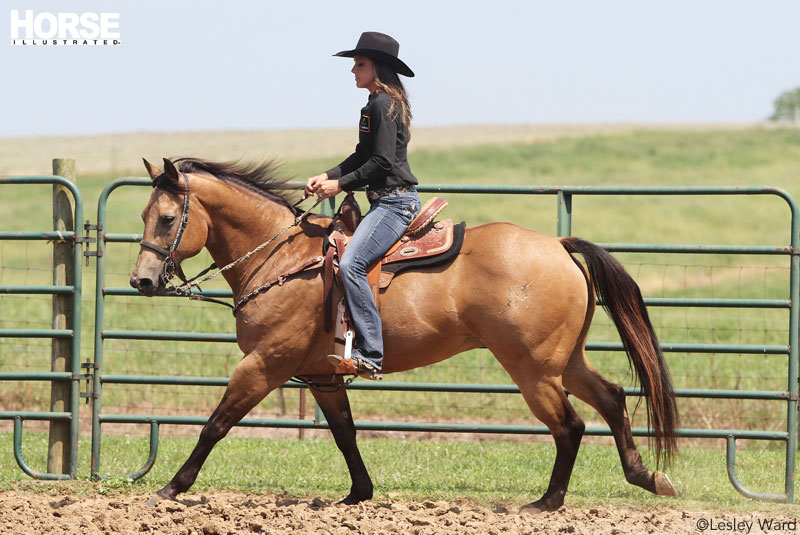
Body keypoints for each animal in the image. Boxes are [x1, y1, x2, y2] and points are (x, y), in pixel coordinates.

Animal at [130, 157, 676, 512]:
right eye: (143, 215)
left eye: (168, 217)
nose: (142, 281)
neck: (281, 259)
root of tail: (559, 245)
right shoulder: (323, 375)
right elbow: (345, 433)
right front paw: (359, 494)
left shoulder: (265, 364)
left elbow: (216, 424)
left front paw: (171, 489)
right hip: (567, 360)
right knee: (611, 397)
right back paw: (646, 476)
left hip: (533, 370)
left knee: (570, 425)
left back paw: (548, 502)